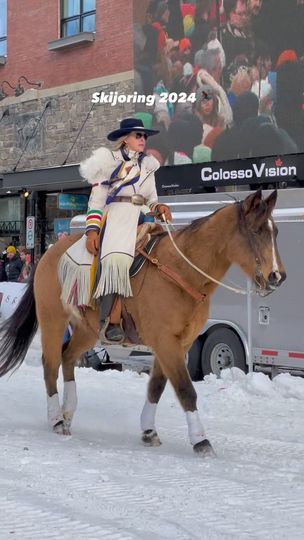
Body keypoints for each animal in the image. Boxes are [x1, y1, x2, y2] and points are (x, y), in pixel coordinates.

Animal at [0, 191, 284, 456]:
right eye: (257, 231)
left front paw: (149, 430)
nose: (277, 276)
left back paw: (68, 413)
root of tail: (48, 253)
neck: (181, 271)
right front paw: (201, 441)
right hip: (53, 319)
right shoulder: (166, 341)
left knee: (68, 356)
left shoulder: (178, 343)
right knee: (50, 365)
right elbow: (185, 389)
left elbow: (157, 386)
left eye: (276, 232)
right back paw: (57, 419)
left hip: (87, 329)